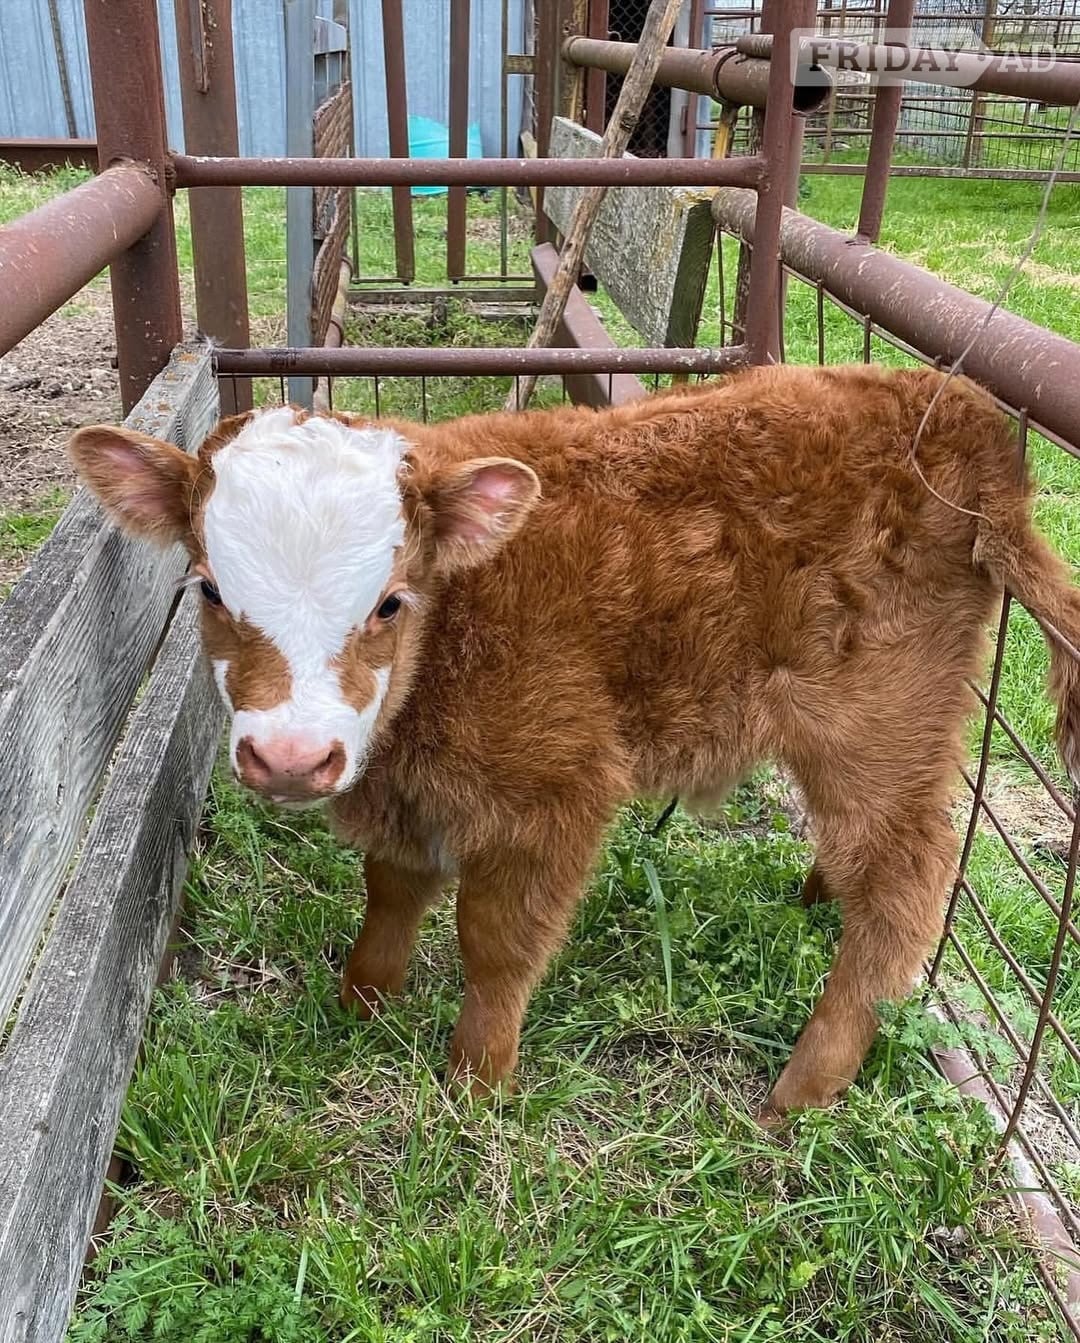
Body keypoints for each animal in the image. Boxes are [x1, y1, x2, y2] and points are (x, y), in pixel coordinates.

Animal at [69, 362, 1080, 1117]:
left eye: (391, 602)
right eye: (206, 587)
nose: (289, 757)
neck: (463, 614)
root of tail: (953, 405)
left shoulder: (553, 790)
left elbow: (495, 941)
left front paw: (475, 1083)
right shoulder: (406, 793)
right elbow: (392, 889)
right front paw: (363, 1003)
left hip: (876, 720)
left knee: (908, 882)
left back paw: (801, 1089)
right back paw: (815, 893)